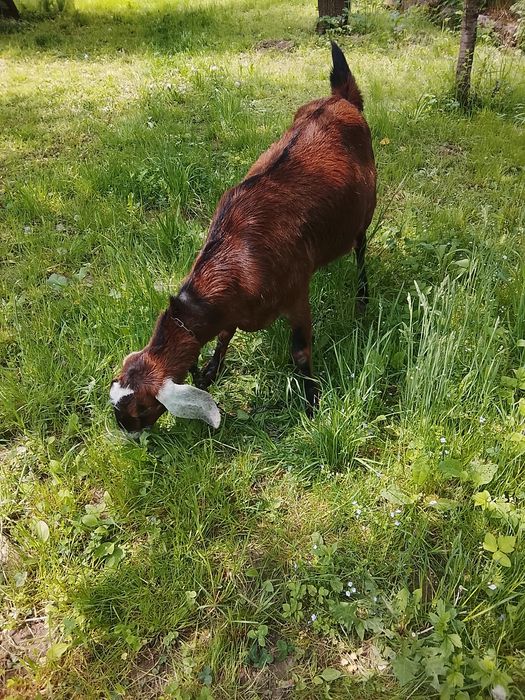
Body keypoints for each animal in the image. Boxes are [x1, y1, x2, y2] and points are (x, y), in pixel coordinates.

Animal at [110, 42, 376, 432]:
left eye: (140, 410)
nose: (126, 433)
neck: (238, 258)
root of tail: (340, 99)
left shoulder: (296, 294)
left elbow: (300, 351)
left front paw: (312, 403)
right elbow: (223, 335)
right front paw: (211, 369)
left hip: (365, 211)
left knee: (360, 248)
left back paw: (362, 297)